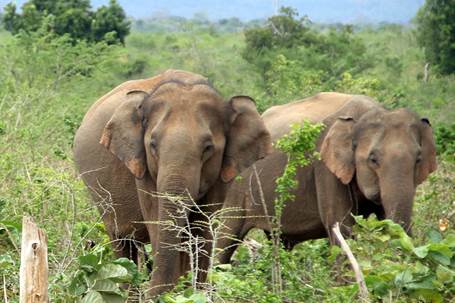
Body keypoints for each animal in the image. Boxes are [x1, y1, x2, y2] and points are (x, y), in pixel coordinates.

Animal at [71, 69, 270, 296]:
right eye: (152, 145)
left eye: (208, 148)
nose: (152, 293)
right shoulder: (143, 168)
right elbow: (157, 219)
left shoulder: (222, 172)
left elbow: (203, 226)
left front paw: (192, 293)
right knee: (121, 242)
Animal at [217, 92, 438, 264]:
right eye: (373, 159)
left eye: (418, 159)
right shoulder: (325, 169)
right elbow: (341, 227)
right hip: (236, 187)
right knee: (226, 237)